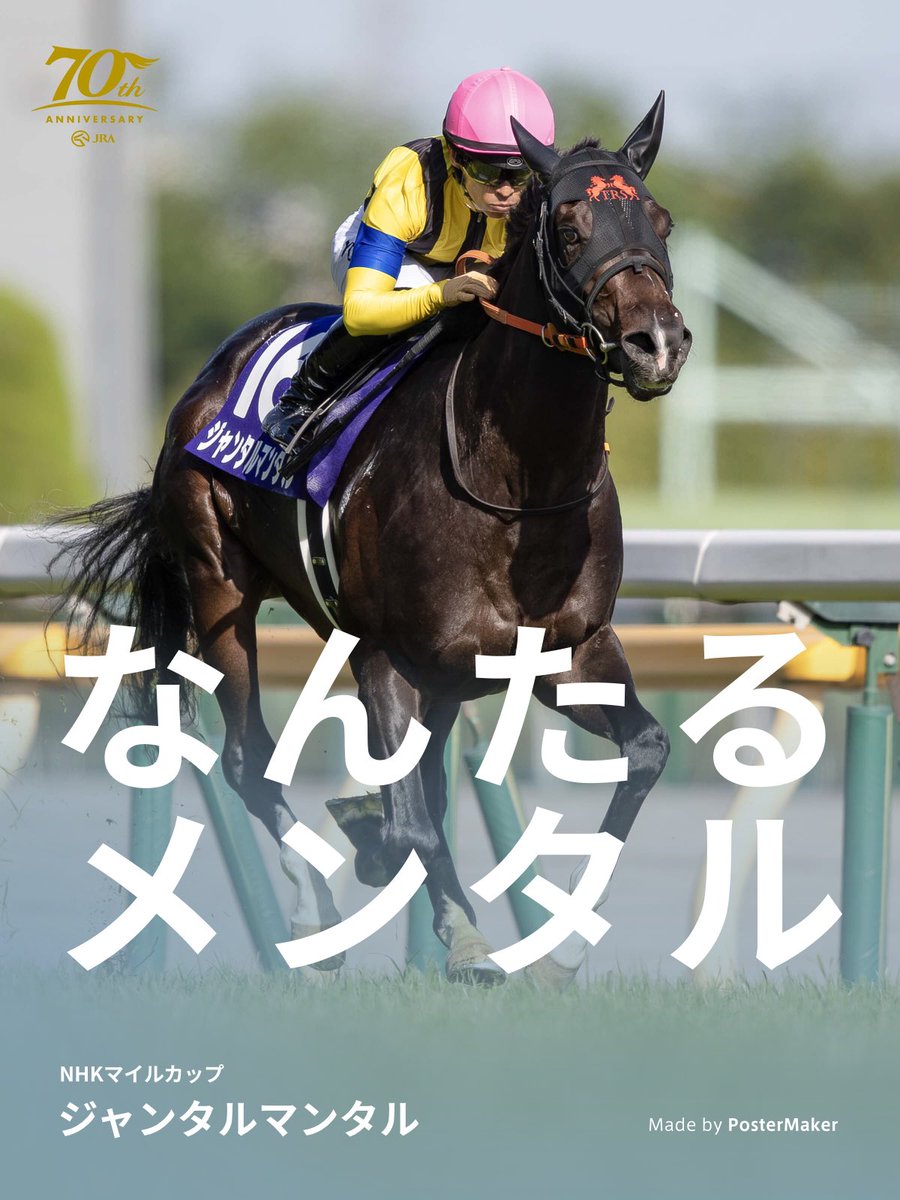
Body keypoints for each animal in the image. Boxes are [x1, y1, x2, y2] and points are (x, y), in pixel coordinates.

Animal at [59, 93, 691, 986]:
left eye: (660, 222)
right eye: (569, 227)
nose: (657, 343)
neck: (517, 489)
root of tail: (211, 376)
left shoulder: (572, 650)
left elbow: (645, 751)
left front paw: (560, 945)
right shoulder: (384, 653)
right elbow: (410, 822)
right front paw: (417, 895)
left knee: (420, 774)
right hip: (219, 588)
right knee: (251, 759)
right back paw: (314, 908)